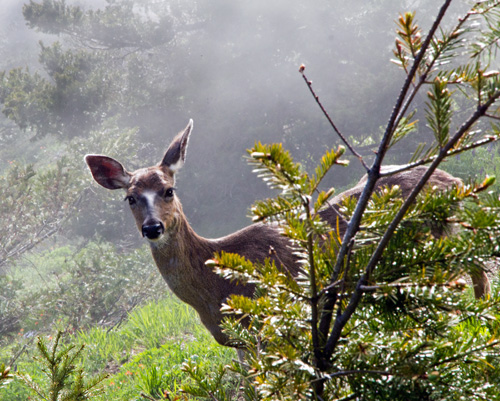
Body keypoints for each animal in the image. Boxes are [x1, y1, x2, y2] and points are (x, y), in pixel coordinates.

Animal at [85, 119, 488, 346]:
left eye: (169, 190)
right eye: (130, 198)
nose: (153, 227)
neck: (215, 287)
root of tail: (454, 181)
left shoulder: (274, 318)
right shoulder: (238, 340)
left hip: (433, 246)